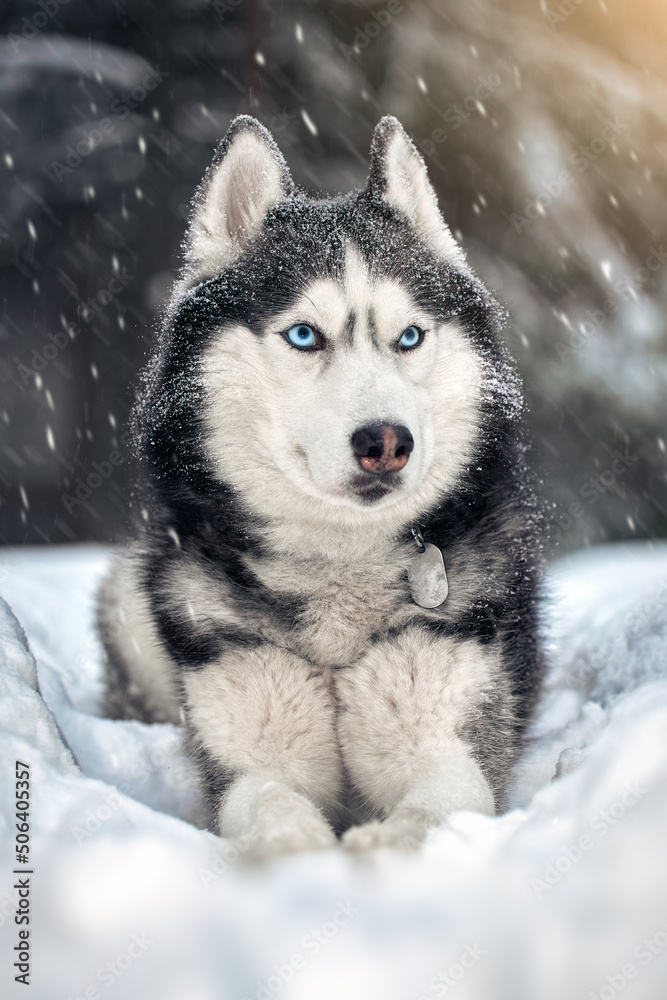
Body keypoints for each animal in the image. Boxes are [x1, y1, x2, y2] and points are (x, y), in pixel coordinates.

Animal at [100, 115, 548, 852]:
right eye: (306, 336)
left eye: (409, 338)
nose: (386, 442)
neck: (340, 565)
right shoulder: (251, 754)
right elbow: (274, 805)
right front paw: (297, 853)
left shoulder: (449, 740)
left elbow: (430, 811)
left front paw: (380, 848)